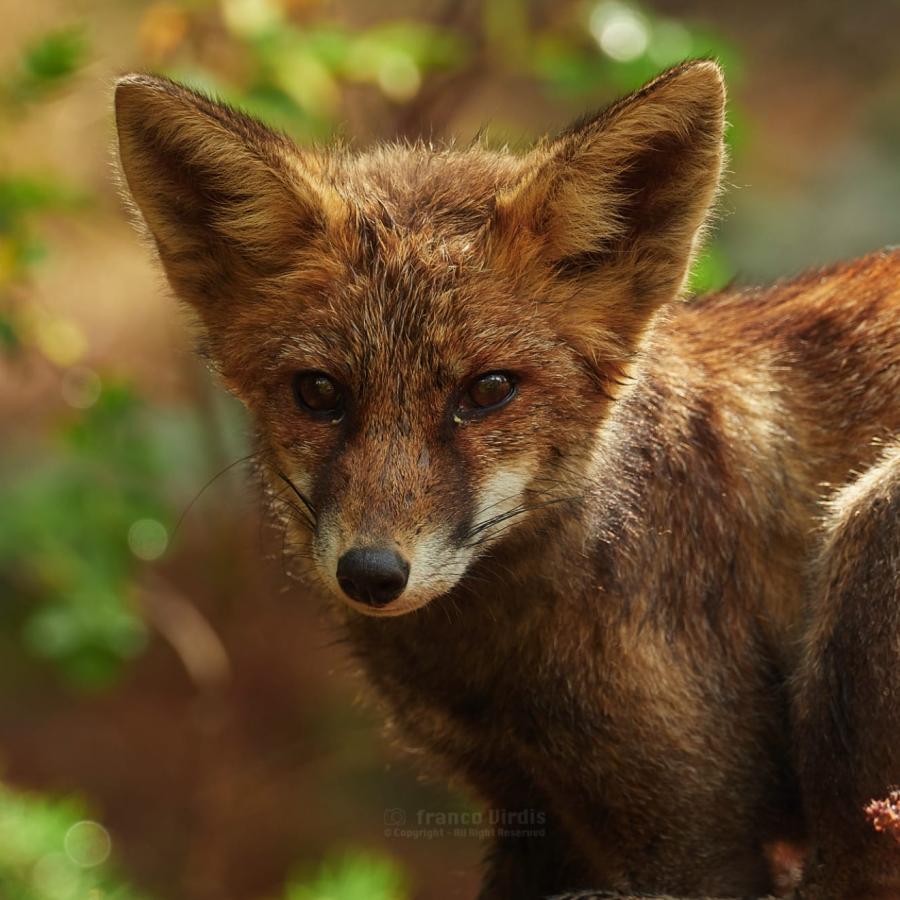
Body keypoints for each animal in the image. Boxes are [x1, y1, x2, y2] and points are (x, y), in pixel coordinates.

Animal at [113, 60, 900, 899]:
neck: (498, 672)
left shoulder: (700, 830)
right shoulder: (531, 811)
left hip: (865, 535)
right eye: (319, 392)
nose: (371, 573)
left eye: (488, 390)